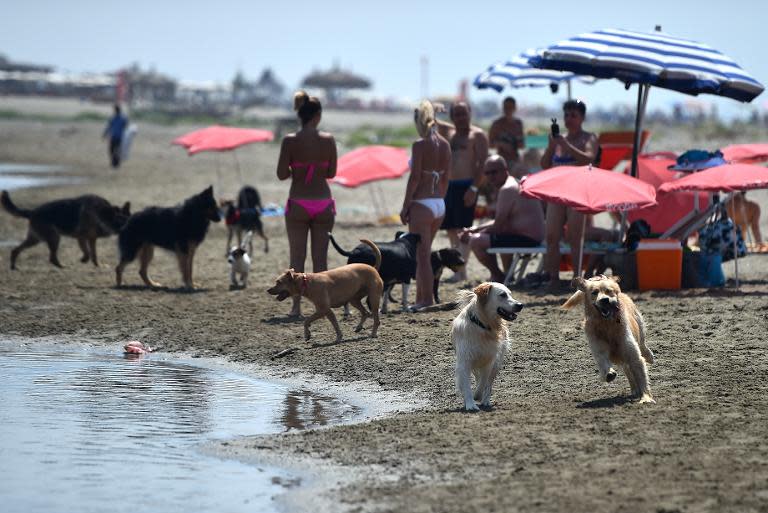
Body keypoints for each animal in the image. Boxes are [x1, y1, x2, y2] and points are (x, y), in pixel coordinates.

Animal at [450, 282, 520, 410]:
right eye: (502, 295)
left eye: (510, 294)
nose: (520, 305)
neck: (482, 325)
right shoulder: (464, 361)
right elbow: (467, 385)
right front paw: (470, 404)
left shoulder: (490, 360)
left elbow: (484, 382)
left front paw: (478, 396)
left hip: (497, 362)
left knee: (488, 383)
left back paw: (485, 400)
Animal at [560, 274, 656, 402]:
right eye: (594, 292)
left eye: (609, 291)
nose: (604, 300)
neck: (606, 324)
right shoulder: (599, 349)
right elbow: (603, 362)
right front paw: (609, 374)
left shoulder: (633, 355)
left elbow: (642, 376)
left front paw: (646, 398)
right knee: (628, 371)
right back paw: (634, 390)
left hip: (639, 329)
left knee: (643, 346)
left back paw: (649, 356)